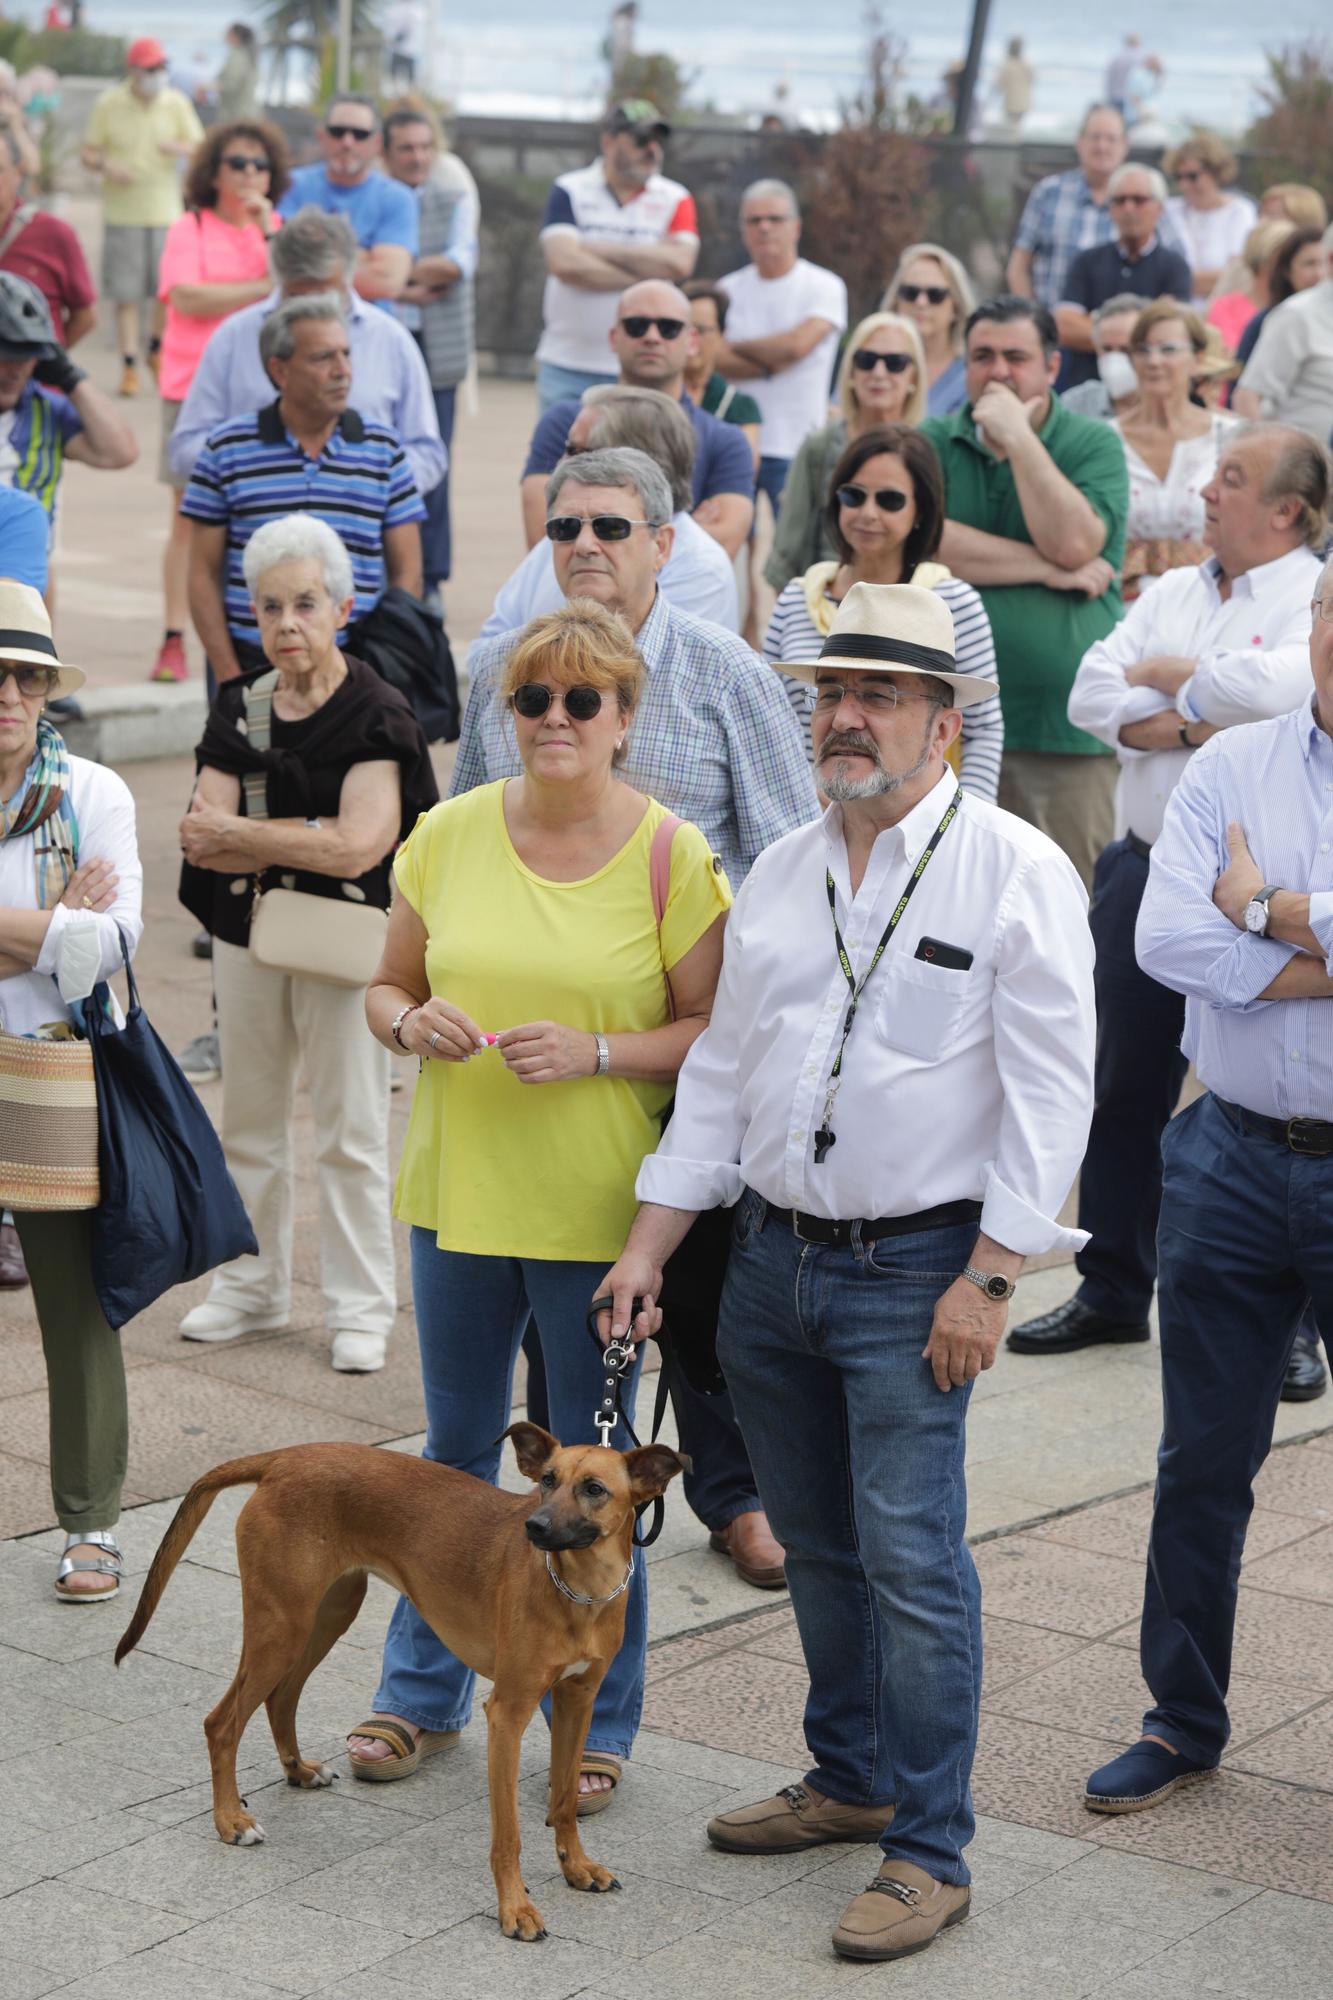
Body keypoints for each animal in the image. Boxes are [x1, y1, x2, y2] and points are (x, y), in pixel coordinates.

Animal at [114, 1424, 684, 1936]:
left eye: (594, 1488)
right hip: (282, 1624)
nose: (535, 1527)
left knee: (281, 1696)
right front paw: (515, 1909)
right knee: (222, 1722)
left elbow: (564, 1801)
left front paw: (576, 1868)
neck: (578, 1590)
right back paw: (230, 1820)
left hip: (325, 1614)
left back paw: (298, 1772)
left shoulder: (578, 1702)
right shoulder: (508, 1714)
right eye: (546, 1479)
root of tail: (285, 1457)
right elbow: (508, 1835)